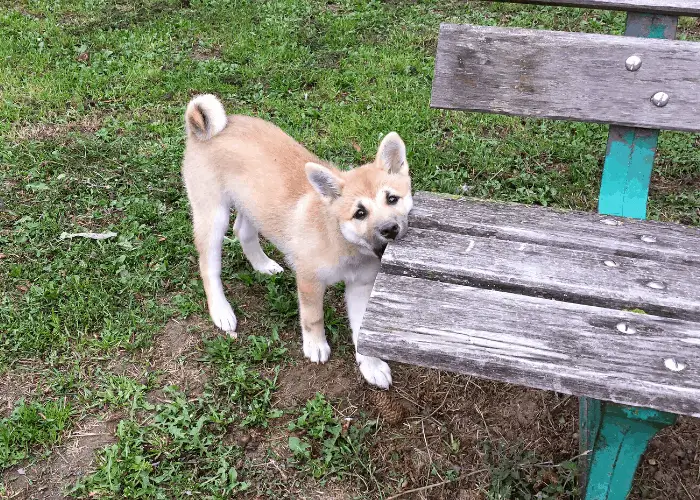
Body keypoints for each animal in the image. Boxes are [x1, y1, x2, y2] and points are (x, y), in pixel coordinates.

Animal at [180, 94, 412, 390]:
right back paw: (221, 310)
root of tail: (206, 130)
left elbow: (362, 330)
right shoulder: (310, 280)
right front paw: (315, 345)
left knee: (243, 230)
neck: (343, 242)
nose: (390, 229)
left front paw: (370, 365)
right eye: (360, 213)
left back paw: (263, 265)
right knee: (209, 266)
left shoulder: (360, 286)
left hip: (253, 204)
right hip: (212, 215)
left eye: (392, 199)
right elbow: (314, 317)